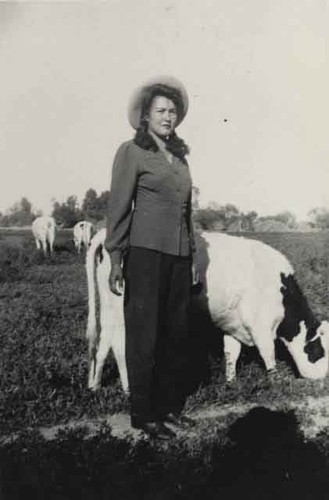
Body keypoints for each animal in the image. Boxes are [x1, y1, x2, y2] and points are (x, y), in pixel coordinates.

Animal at [85, 229, 328, 390]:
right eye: (320, 350)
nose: (324, 378)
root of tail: (105, 232)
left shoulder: (233, 324)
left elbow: (231, 353)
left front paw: (231, 382)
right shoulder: (259, 326)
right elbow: (268, 353)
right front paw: (276, 381)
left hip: (108, 307)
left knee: (103, 343)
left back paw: (95, 385)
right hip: (125, 311)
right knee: (119, 344)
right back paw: (128, 389)